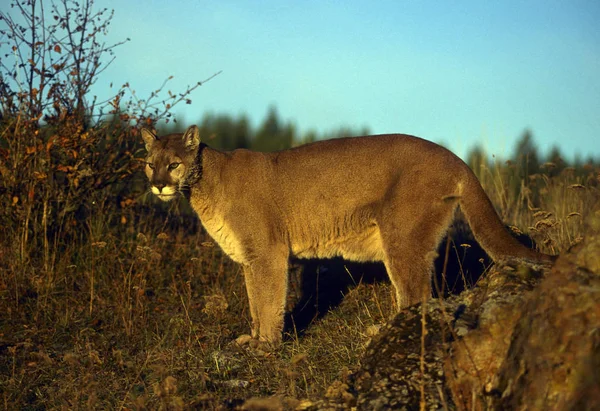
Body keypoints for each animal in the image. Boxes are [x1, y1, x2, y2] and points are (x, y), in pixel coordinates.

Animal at [139, 125, 552, 344]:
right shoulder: (250, 259)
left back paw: (382, 335)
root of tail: (456, 158)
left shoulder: (268, 253)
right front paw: (252, 339)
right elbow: (256, 303)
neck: (206, 183)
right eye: (149, 163)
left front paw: (266, 347)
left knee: (416, 295)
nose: (158, 185)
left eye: (173, 165)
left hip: (401, 237)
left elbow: (268, 302)